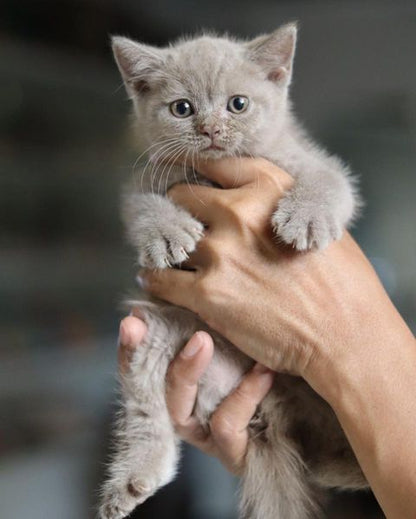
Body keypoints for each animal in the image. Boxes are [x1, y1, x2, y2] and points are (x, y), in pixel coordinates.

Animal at [99, 23, 366, 519]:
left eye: (237, 104)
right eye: (182, 108)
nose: (210, 129)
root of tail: (272, 411)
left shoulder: (309, 162)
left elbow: (330, 183)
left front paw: (305, 217)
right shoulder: (142, 184)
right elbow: (143, 208)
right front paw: (166, 233)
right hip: (158, 332)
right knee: (145, 413)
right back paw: (132, 479)